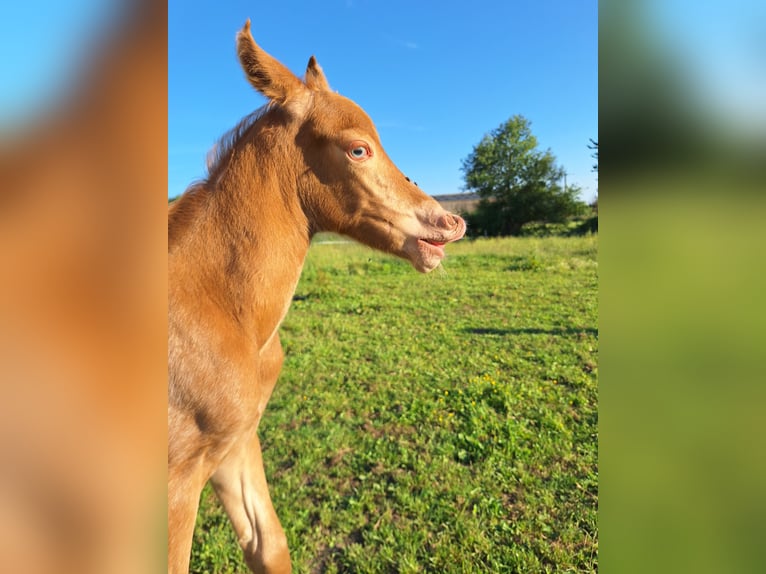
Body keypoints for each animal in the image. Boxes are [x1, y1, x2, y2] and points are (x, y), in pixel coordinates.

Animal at [169, 20, 468, 572]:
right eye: (357, 149)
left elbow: (268, 545)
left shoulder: (235, 443)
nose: (449, 222)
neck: (223, 310)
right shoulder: (176, 481)